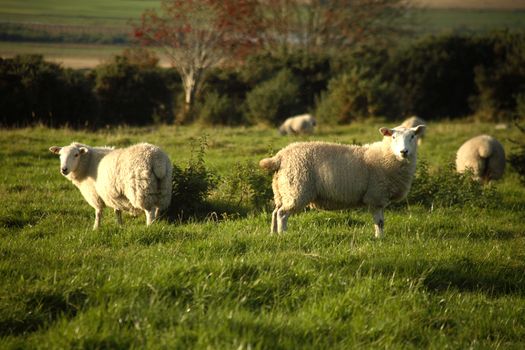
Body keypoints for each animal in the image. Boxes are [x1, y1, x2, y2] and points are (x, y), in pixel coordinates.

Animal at [258, 125, 426, 238]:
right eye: (393, 137)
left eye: (413, 136)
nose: (404, 151)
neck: (387, 155)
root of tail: (280, 156)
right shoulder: (375, 196)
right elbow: (379, 222)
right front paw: (380, 239)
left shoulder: (379, 198)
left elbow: (381, 221)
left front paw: (380, 237)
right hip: (296, 189)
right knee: (282, 214)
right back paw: (283, 235)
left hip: (282, 190)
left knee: (275, 212)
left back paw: (273, 234)